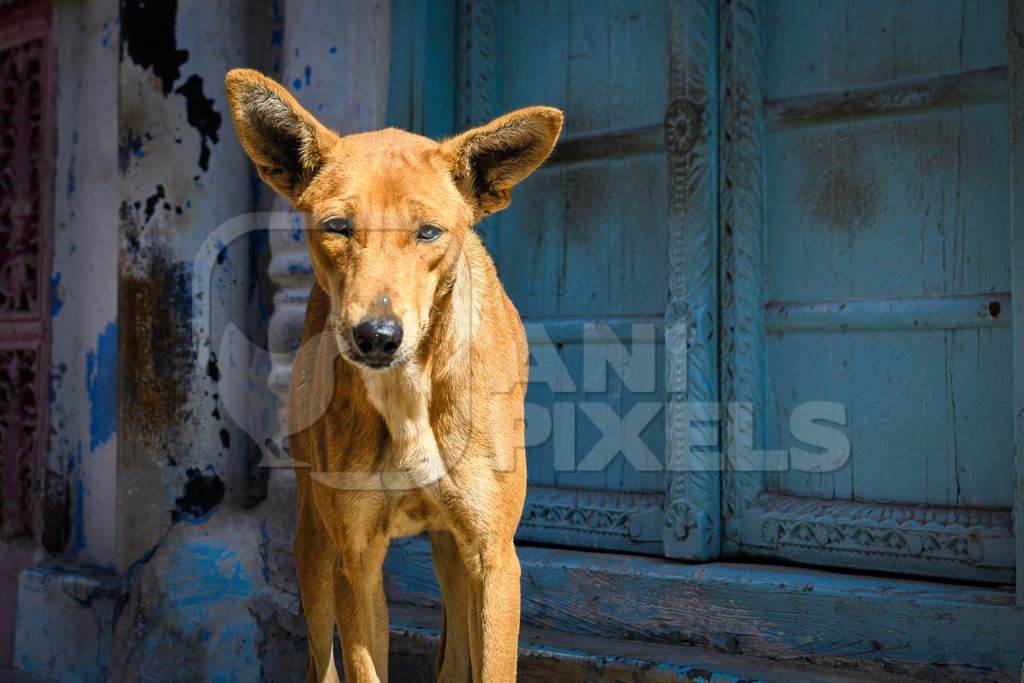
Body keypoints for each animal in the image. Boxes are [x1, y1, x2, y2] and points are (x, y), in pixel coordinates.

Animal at [225, 68, 565, 679]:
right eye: (337, 226)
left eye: (428, 232)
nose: (377, 336)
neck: (407, 396)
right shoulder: (355, 558)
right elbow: (361, 664)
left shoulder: (492, 556)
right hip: (314, 545)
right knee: (320, 657)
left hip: (453, 552)